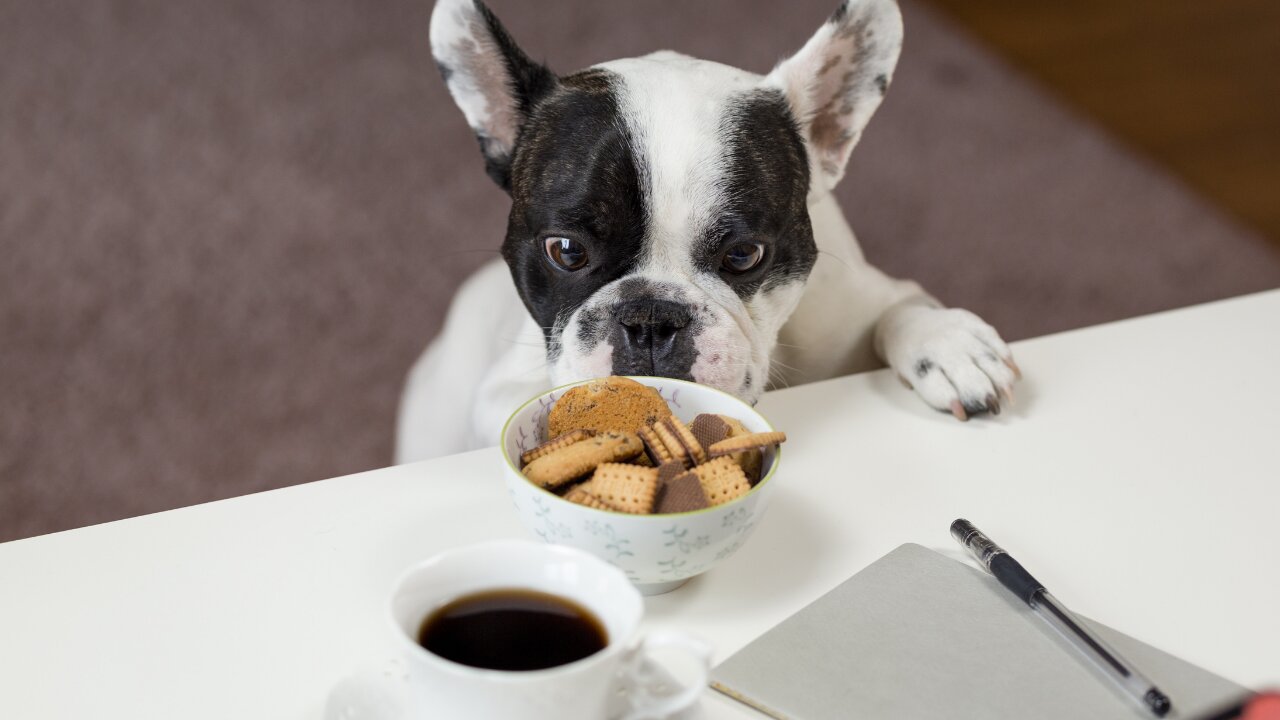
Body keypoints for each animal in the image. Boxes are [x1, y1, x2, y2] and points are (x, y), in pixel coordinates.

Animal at [394, 0, 1013, 458]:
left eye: (744, 255)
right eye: (566, 251)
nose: (649, 319)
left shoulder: (858, 303)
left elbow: (901, 308)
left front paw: (949, 345)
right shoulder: (502, 388)